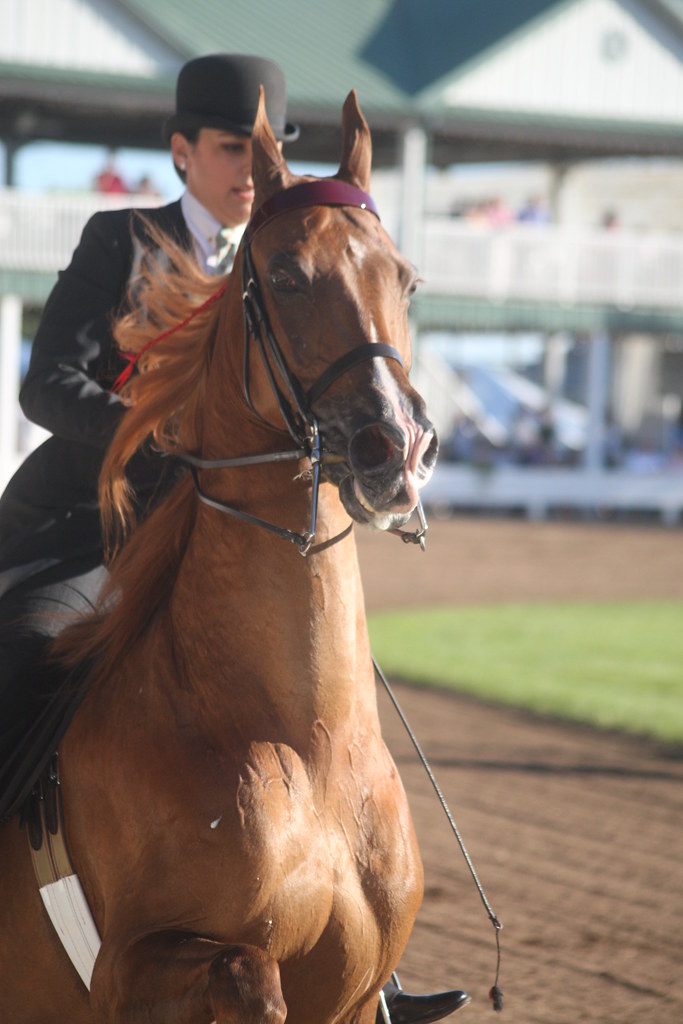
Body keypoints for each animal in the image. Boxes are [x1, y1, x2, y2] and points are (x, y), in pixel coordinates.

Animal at [0, 89, 439, 1024]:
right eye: (286, 276)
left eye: (405, 279)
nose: (396, 446)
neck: (307, 745)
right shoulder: (128, 972)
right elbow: (247, 973)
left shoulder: (354, 994)